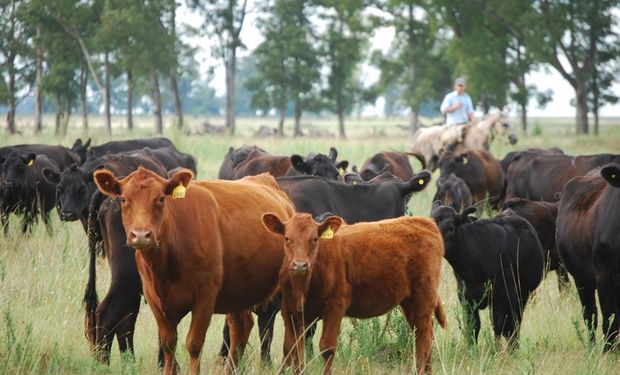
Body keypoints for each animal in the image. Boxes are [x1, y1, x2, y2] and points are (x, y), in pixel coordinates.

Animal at [93, 169, 294, 374]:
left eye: (160, 199)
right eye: (124, 199)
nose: (141, 235)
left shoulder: (204, 298)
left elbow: (194, 343)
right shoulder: (154, 299)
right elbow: (168, 343)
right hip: (238, 292)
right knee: (241, 326)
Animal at [262, 213, 446, 374]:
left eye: (314, 239)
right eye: (287, 238)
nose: (300, 265)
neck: (304, 286)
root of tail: (423, 221)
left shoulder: (335, 306)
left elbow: (327, 348)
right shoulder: (289, 311)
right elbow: (291, 349)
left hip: (423, 295)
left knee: (424, 337)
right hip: (408, 301)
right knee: (421, 333)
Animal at [432, 203, 544, 350]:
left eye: (450, 228)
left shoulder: (505, 295)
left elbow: (504, 326)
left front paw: (504, 350)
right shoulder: (466, 298)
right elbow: (473, 327)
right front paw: (472, 349)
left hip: (522, 294)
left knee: (513, 323)